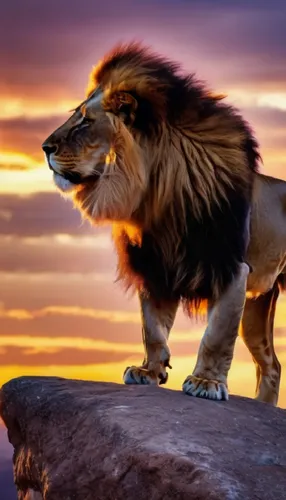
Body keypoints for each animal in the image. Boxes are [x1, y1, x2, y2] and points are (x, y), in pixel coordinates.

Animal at [42, 43, 286, 406]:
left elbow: (216, 335)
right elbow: (152, 328)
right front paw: (149, 371)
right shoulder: (154, 266)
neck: (158, 197)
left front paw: (205, 382)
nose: (44, 147)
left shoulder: (230, 268)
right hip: (259, 302)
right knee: (271, 363)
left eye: (85, 121)